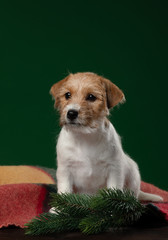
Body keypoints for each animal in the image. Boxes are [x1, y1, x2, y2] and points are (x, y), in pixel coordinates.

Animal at [50, 72, 163, 202]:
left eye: (91, 97)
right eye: (67, 95)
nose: (71, 113)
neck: (85, 136)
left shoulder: (114, 169)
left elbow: (113, 189)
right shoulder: (65, 169)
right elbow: (64, 191)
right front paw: (57, 207)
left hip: (133, 173)